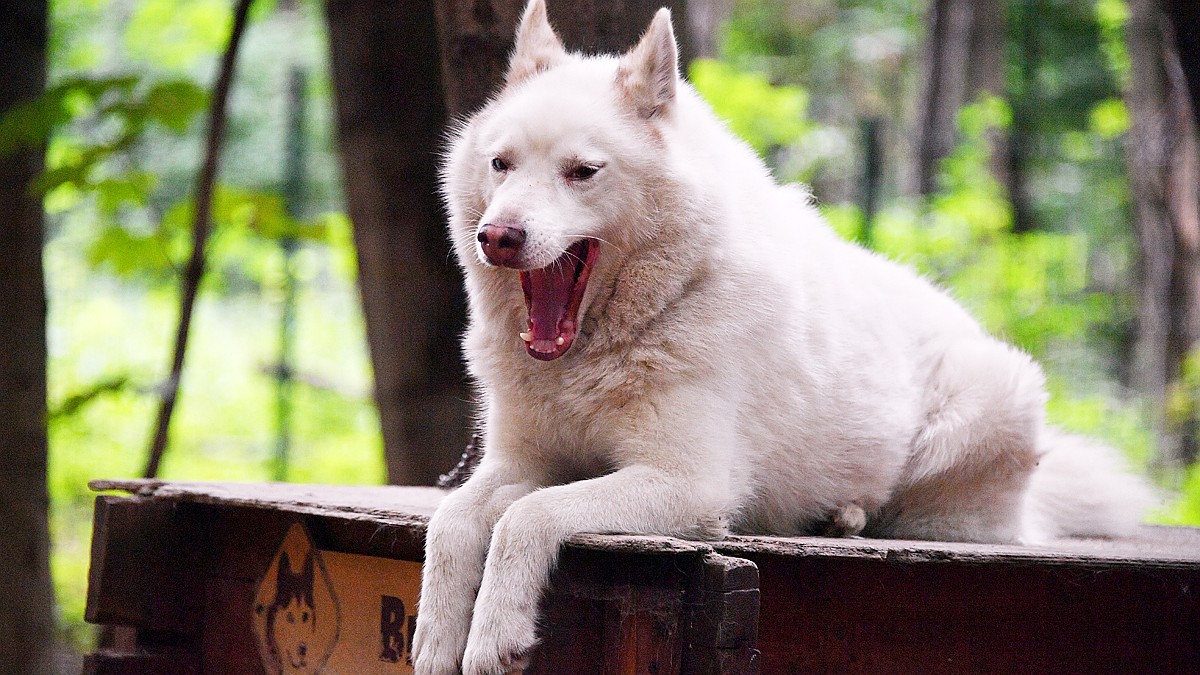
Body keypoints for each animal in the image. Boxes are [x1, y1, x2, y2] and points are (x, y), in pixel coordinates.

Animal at [410, 2, 1152, 667]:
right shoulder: (519, 462)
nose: (498, 237)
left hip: (978, 409)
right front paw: (438, 635)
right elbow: (452, 523)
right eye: (501, 164)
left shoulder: (690, 482)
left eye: (582, 172)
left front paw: (494, 633)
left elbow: (526, 518)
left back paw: (844, 516)